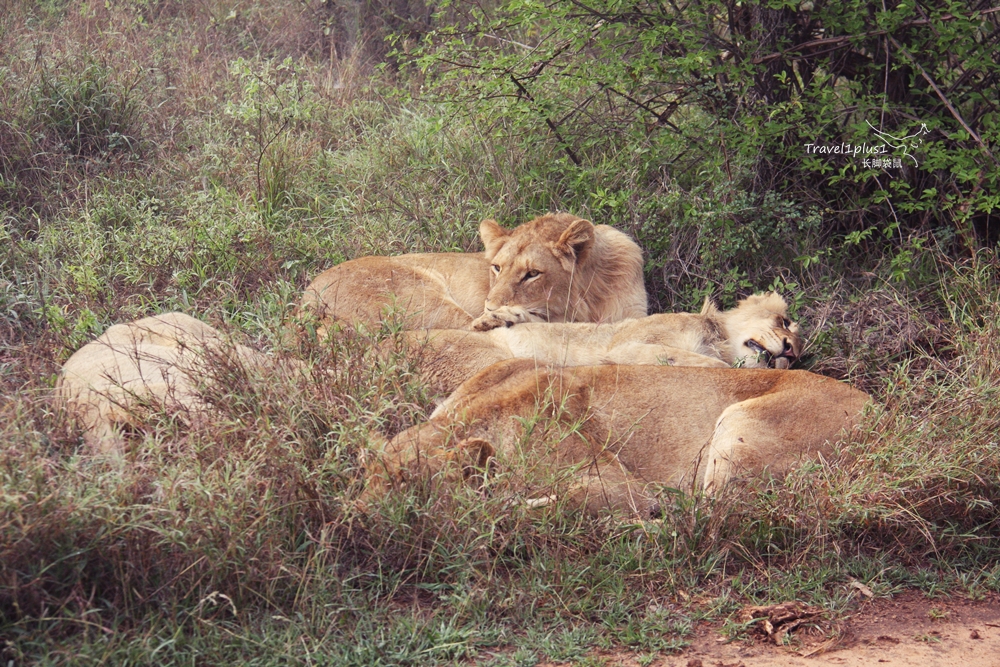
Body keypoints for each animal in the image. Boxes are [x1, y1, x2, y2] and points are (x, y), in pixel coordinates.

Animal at [298, 211, 648, 332]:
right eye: (496, 267)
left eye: (532, 274)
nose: (489, 306)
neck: (593, 295)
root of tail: (308, 293)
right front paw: (506, 316)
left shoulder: (634, 314)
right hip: (419, 293)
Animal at [366, 362, 868, 520]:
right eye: (362, 482)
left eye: (412, 489)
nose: (358, 521)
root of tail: (880, 410)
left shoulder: (621, 485)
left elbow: (565, 496)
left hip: (739, 422)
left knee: (710, 516)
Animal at [402, 292, 800, 396]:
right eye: (784, 322)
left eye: (801, 352)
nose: (791, 351)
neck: (718, 338)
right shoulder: (628, 347)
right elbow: (709, 365)